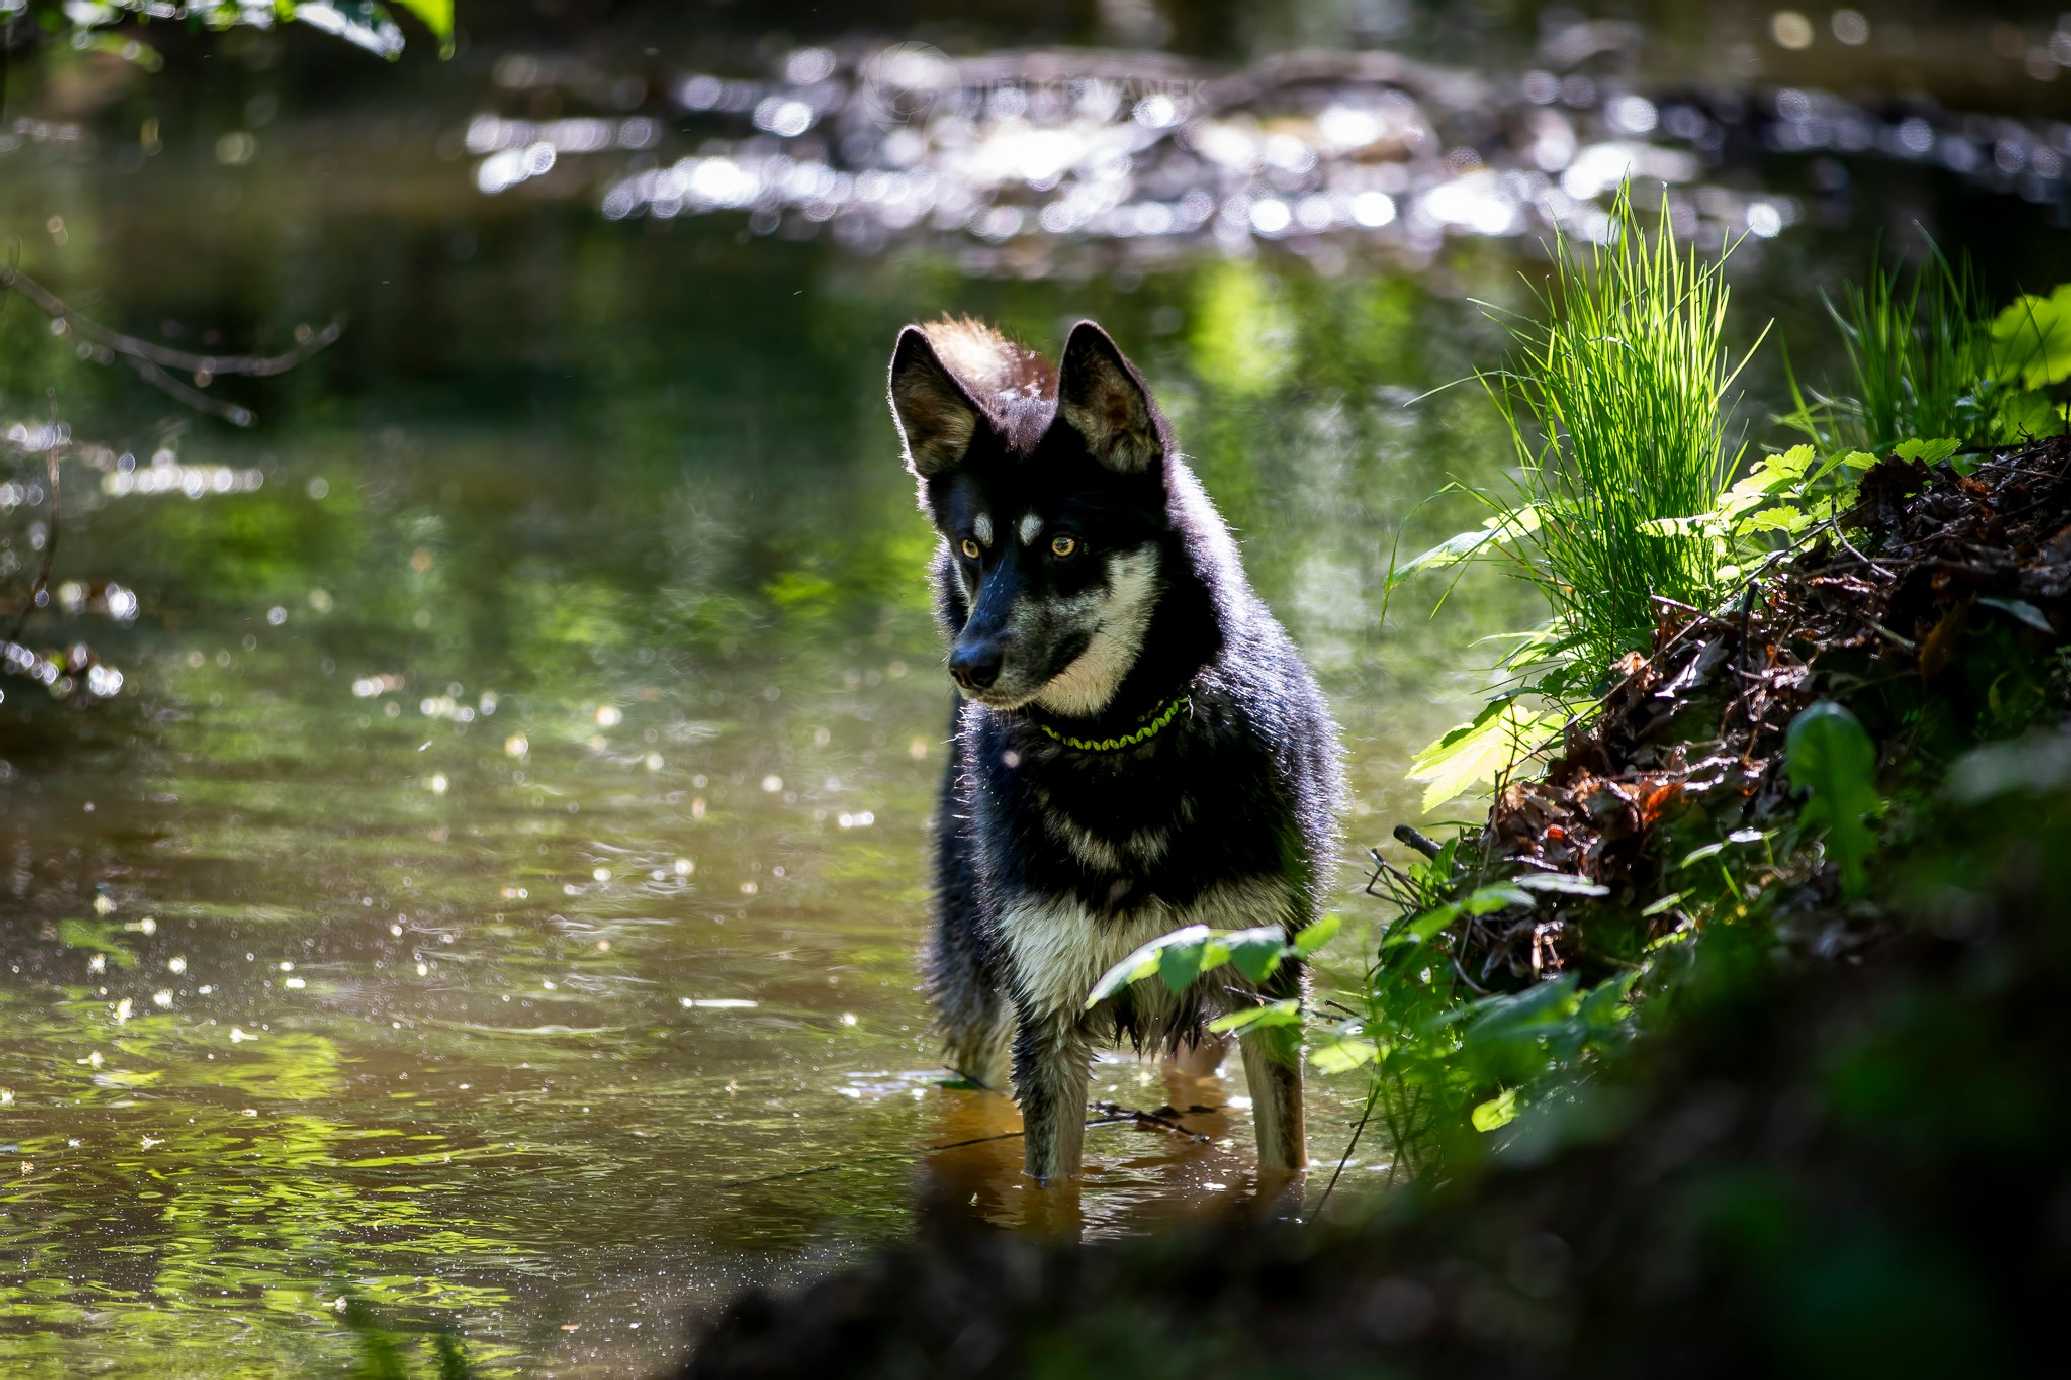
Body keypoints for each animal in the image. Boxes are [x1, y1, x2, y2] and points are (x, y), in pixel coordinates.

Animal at [886, 317, 1342, 1176]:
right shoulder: (1048, 1022)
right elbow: (1045, 1188)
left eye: (1063, 546)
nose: (968, 665)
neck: (1117, 750)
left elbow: (1282, 1161)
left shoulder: (1261, 994)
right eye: (972, 548)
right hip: (981, 1000)